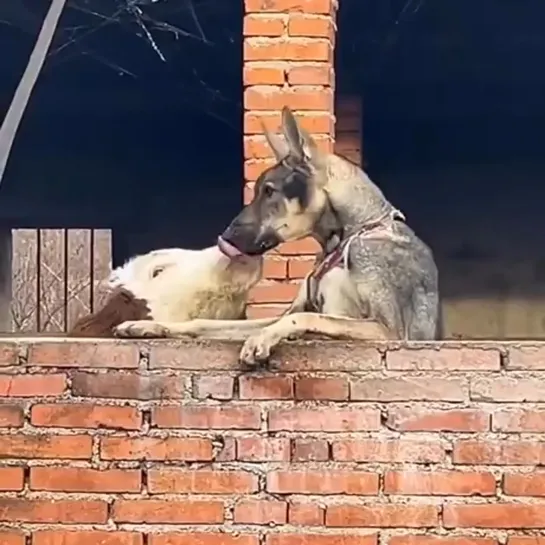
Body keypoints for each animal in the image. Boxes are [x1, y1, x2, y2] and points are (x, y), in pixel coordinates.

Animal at [113, 107, 438, 364]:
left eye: (269, 191)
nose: (225, 236)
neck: (350, 235)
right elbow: (204, 323)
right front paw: (148, 326)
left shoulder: (388, 330)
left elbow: (308, 317)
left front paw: (261, 340)